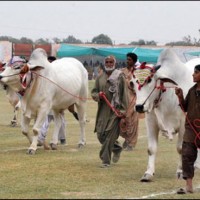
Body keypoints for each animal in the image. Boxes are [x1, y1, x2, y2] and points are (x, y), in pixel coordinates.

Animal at [130, 48, 200, 181]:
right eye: (133, 82)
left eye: (149, 80)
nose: (139, 106)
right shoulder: (151, 122)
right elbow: (151, 149)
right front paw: (148, 173)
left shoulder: (184, 124)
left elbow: (181, 148)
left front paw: (181, 171)